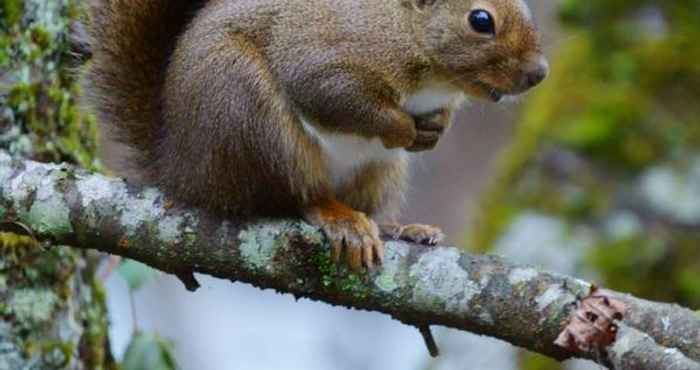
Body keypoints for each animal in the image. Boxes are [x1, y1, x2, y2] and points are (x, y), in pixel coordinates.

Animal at [82, 0, 548, 272]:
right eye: (480, 20)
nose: (540, 73)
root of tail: (180, 169)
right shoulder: (324, 61)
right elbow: (335, 98)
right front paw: (401, 126)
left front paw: (434, 130)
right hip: (249, 115)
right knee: (288, 197)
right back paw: (339, 219)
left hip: (378, 170)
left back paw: (401, 229)